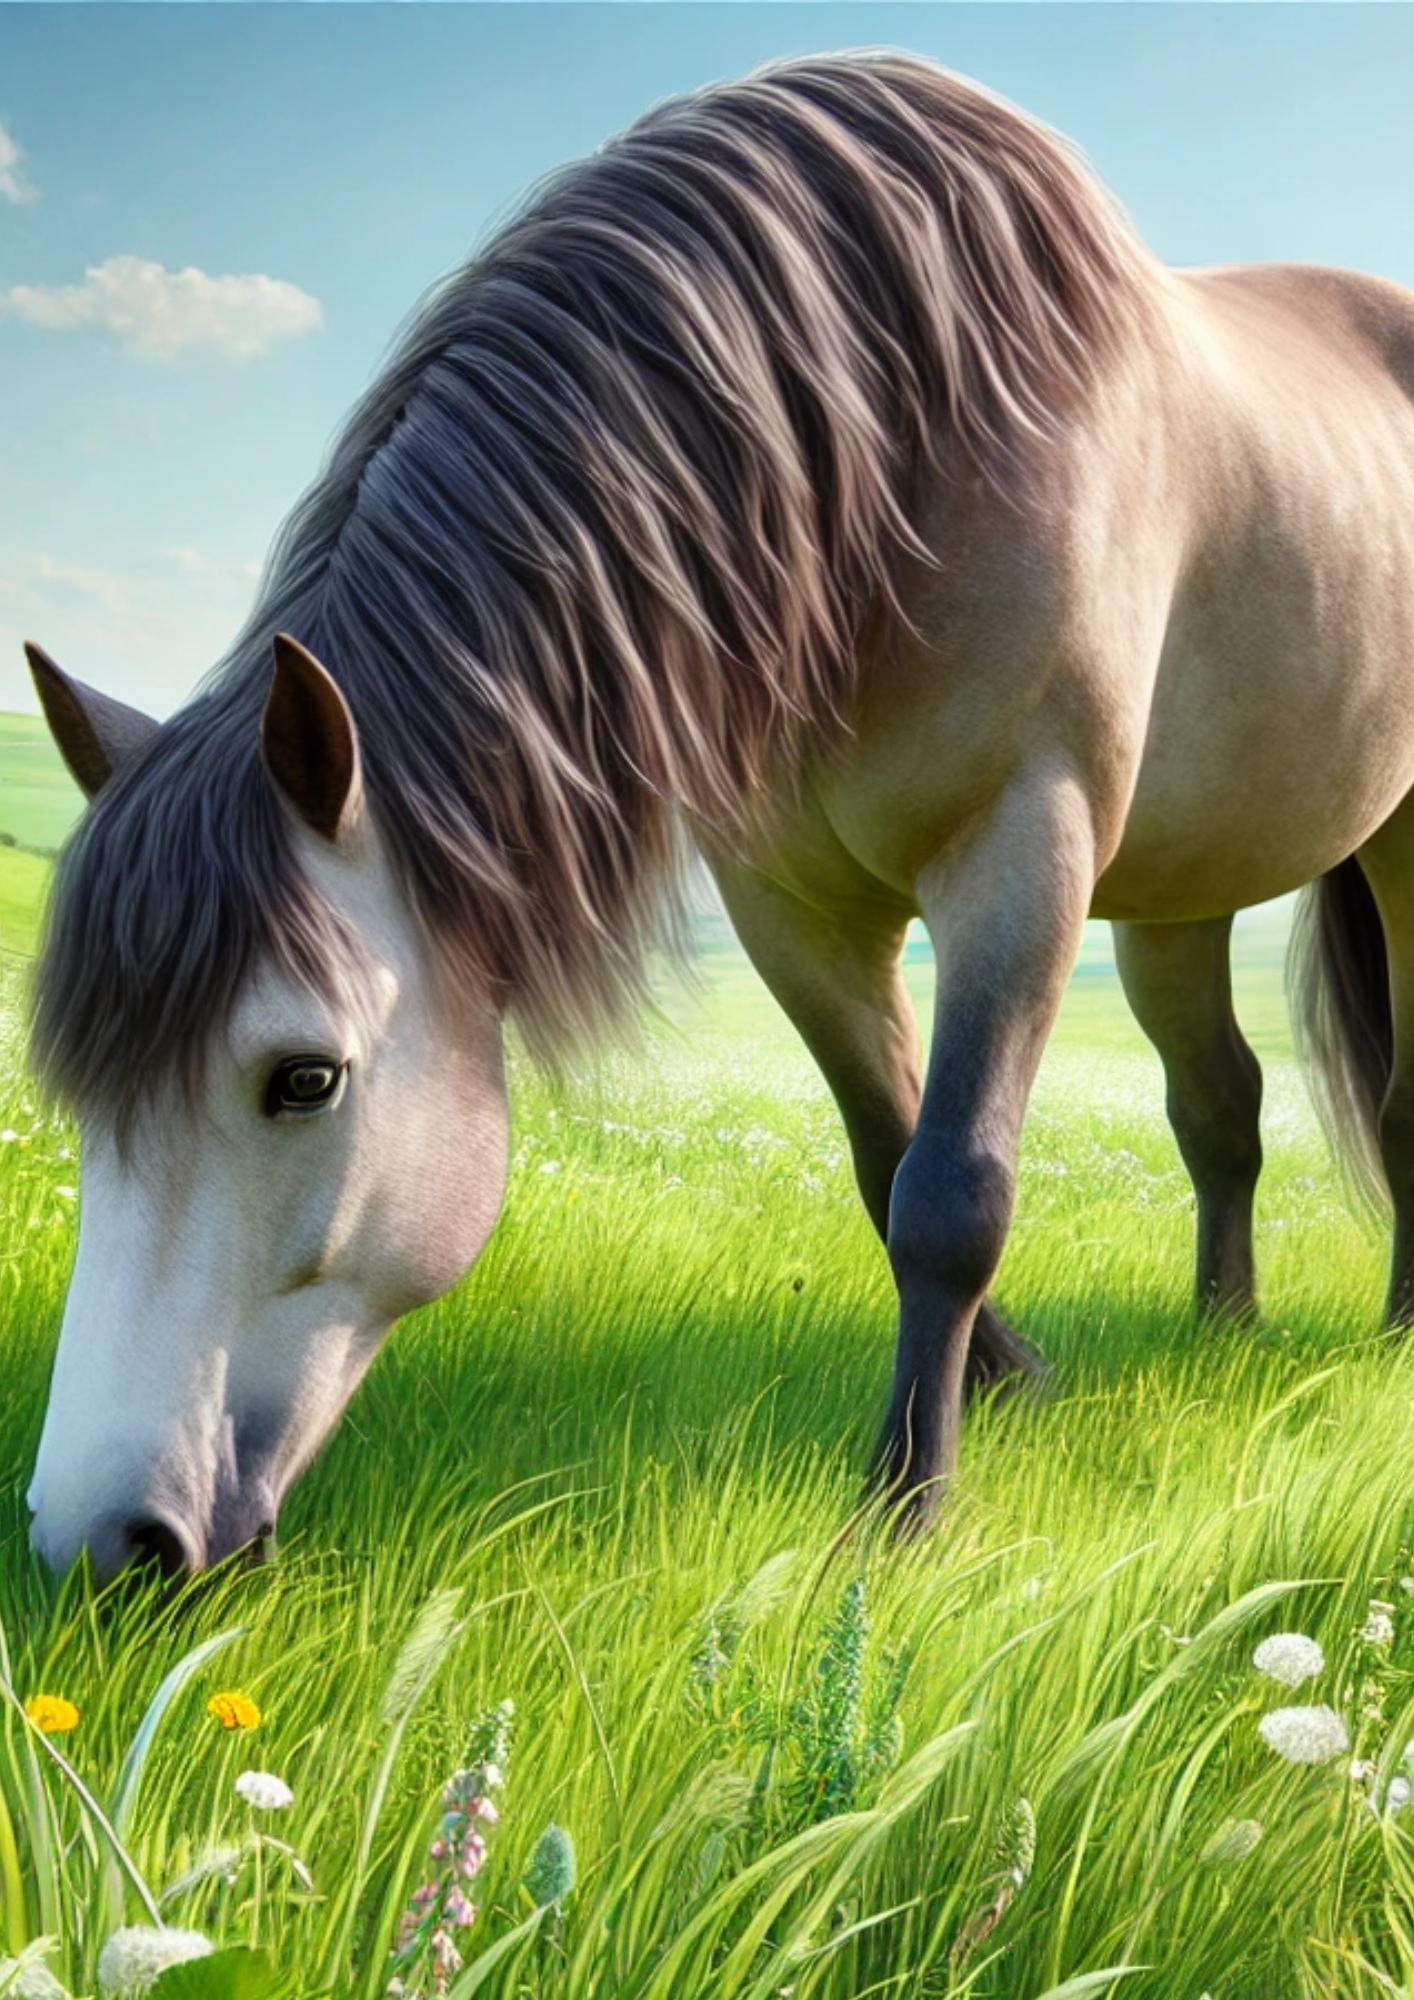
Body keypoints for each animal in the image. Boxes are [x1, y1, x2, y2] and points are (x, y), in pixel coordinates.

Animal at [20, 49, 1414, 1580]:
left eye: (304, 1078)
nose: (97, 1541)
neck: (889, 448)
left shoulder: (1021, 851)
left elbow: (951, 1193)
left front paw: (905, 1509)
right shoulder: (786, 902)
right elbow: (884, 1160)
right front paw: (1011, 1383)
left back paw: (1392, 1332)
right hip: (1178, 885)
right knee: (1217, 1102)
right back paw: (1222, 1328)